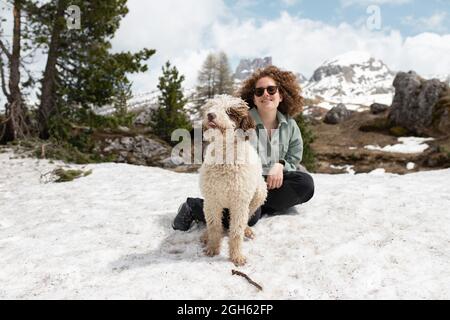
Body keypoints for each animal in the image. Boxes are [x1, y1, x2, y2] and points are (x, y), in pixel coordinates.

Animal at [198, 94, 268, 264]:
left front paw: (236, 256)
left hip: (259, 194)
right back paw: (205, 235)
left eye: (230, 112)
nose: (210, 115)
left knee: (247, 217)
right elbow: (214, 226)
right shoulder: (212, 200)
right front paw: (212, 248)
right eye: (212, 107)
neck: (225, 159)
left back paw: (247, 230)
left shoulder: (239, 203)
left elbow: (236, 231)